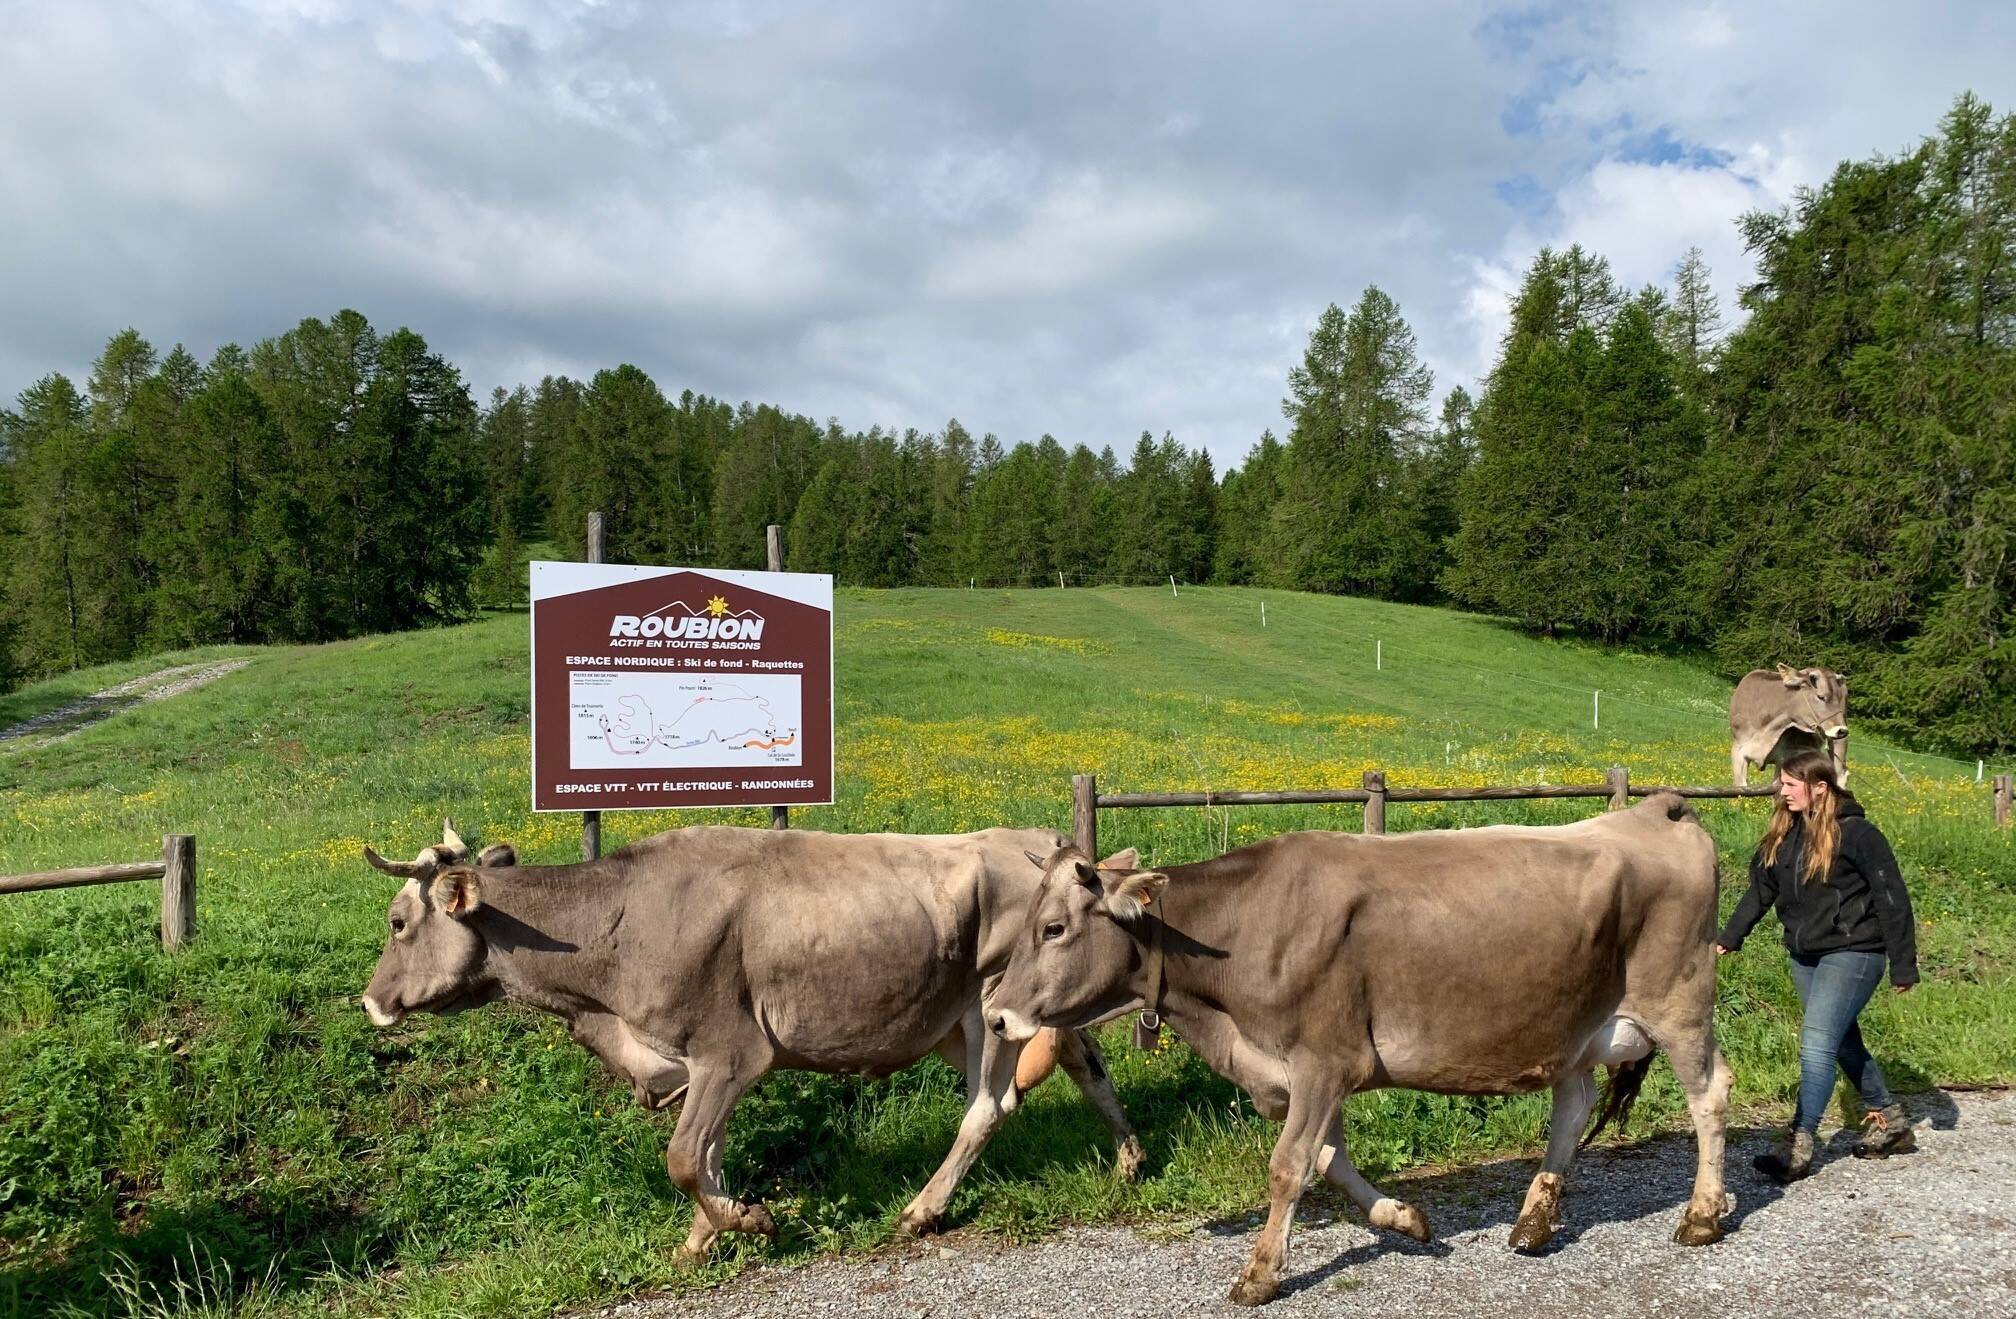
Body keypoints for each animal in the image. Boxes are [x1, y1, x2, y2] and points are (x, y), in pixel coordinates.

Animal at [359, 822, 1144, 1262]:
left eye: (397, 923)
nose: (370, 1001)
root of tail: (1039, 840)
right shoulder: (709, 1063)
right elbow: (707, 1153)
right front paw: (704, 1238)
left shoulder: (730, 1051)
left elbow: (682, 1157)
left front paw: (747, 1221)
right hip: (972, 1015)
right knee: (1083, 1057)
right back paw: (1129, 1159)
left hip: (989, 1008)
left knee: (990, 1106)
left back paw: (923, 1208)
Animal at [983, 795, 1730, 1307]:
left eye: (1053, 928)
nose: (995, 1014)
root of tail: (1657, 808)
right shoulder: (1304, 1071)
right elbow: (1330, 1160)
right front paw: (1404, 1218)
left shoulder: (1323, 1058)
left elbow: (1289, 1166)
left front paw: (1259, 1274)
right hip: (1574, 1029)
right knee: (1571, 1109)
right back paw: (1534, 1221)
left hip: (1680, 1001)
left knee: (1709, 1094)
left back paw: (1700, 1216)